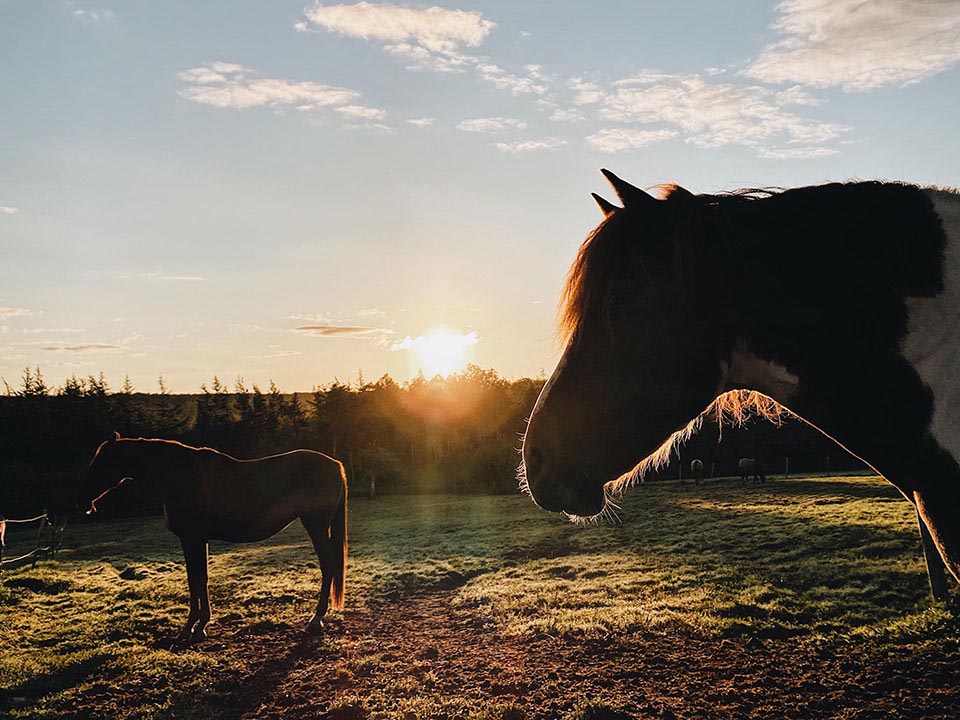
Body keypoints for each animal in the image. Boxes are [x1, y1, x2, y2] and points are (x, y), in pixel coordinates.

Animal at [80, 436, 346, 644]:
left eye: (102, 461)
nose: (82, 497)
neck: (178, 476)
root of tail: (335, 465)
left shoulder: (190, 539)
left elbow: (194, 580)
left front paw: (190, 628)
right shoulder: (199, 540)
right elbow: (201, 578)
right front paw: (201, 625)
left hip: (316, 525)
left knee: (328, 565)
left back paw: (316, 618)